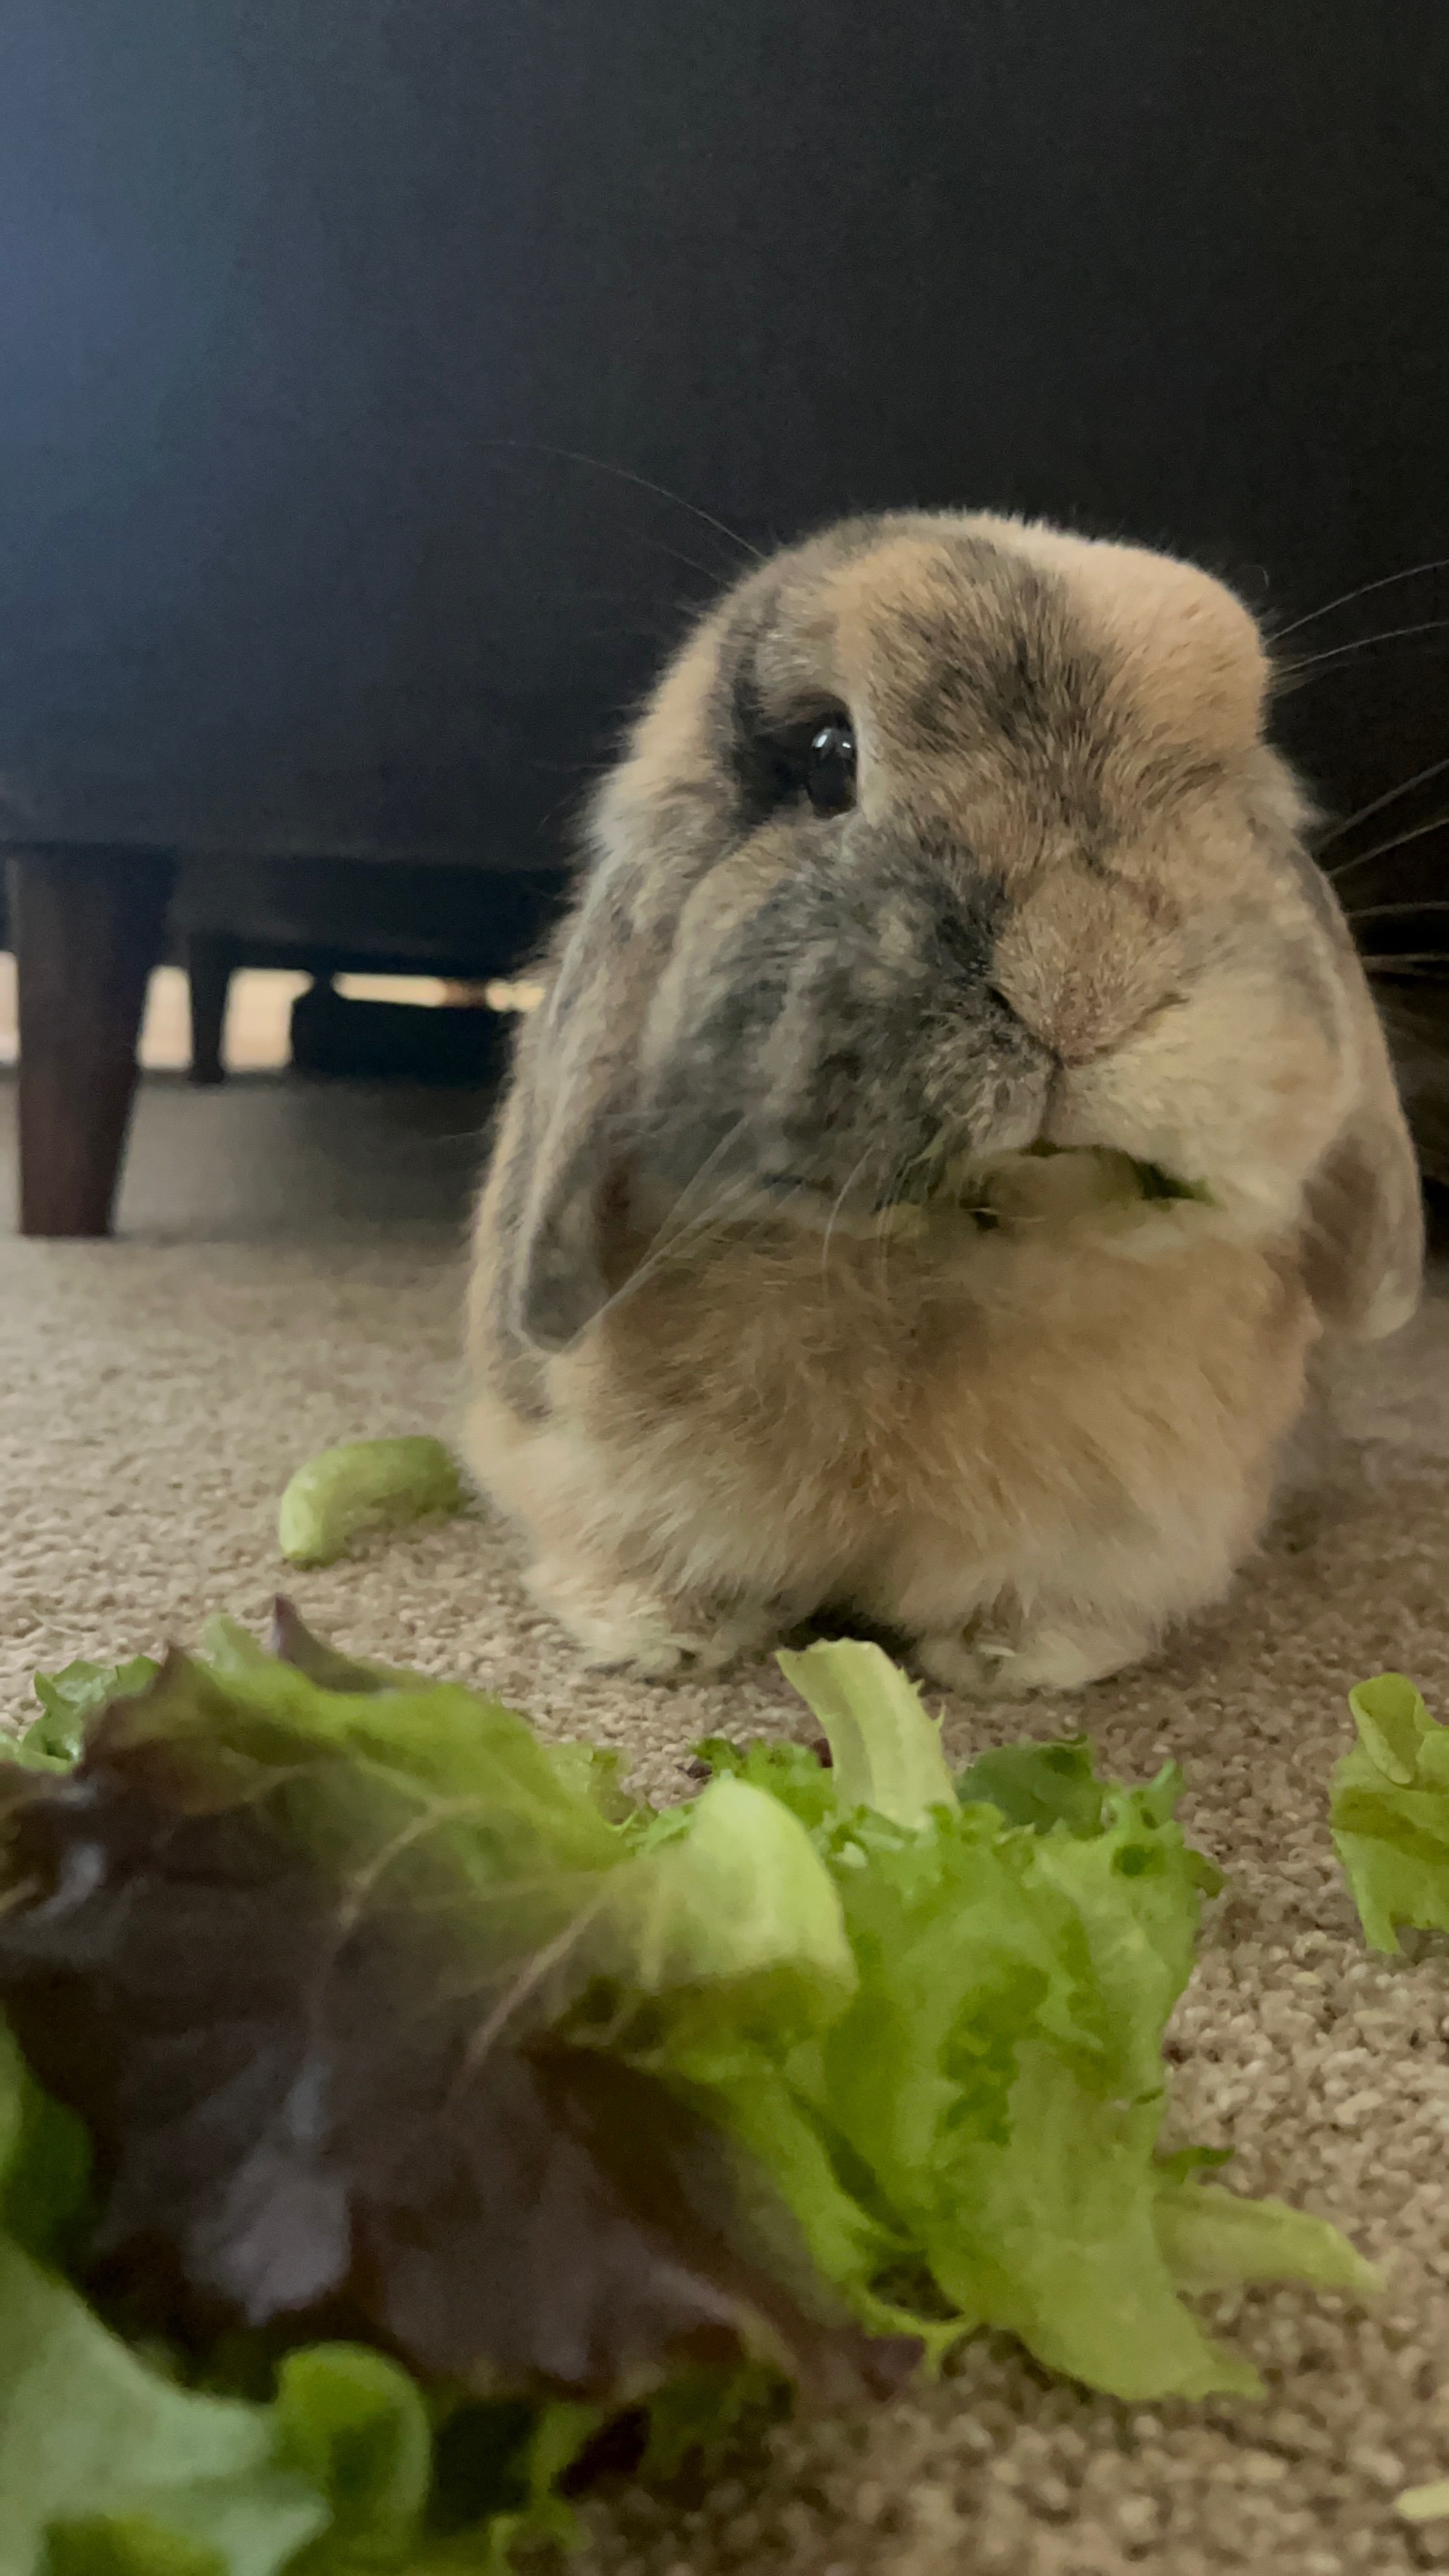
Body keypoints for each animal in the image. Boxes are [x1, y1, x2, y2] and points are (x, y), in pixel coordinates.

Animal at [464, 510, 1423, 1692]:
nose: (1080, 982)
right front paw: (660, 1636)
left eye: (1237, 791)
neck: (947, 1262)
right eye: (827, 756)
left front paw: (1020, 1661)